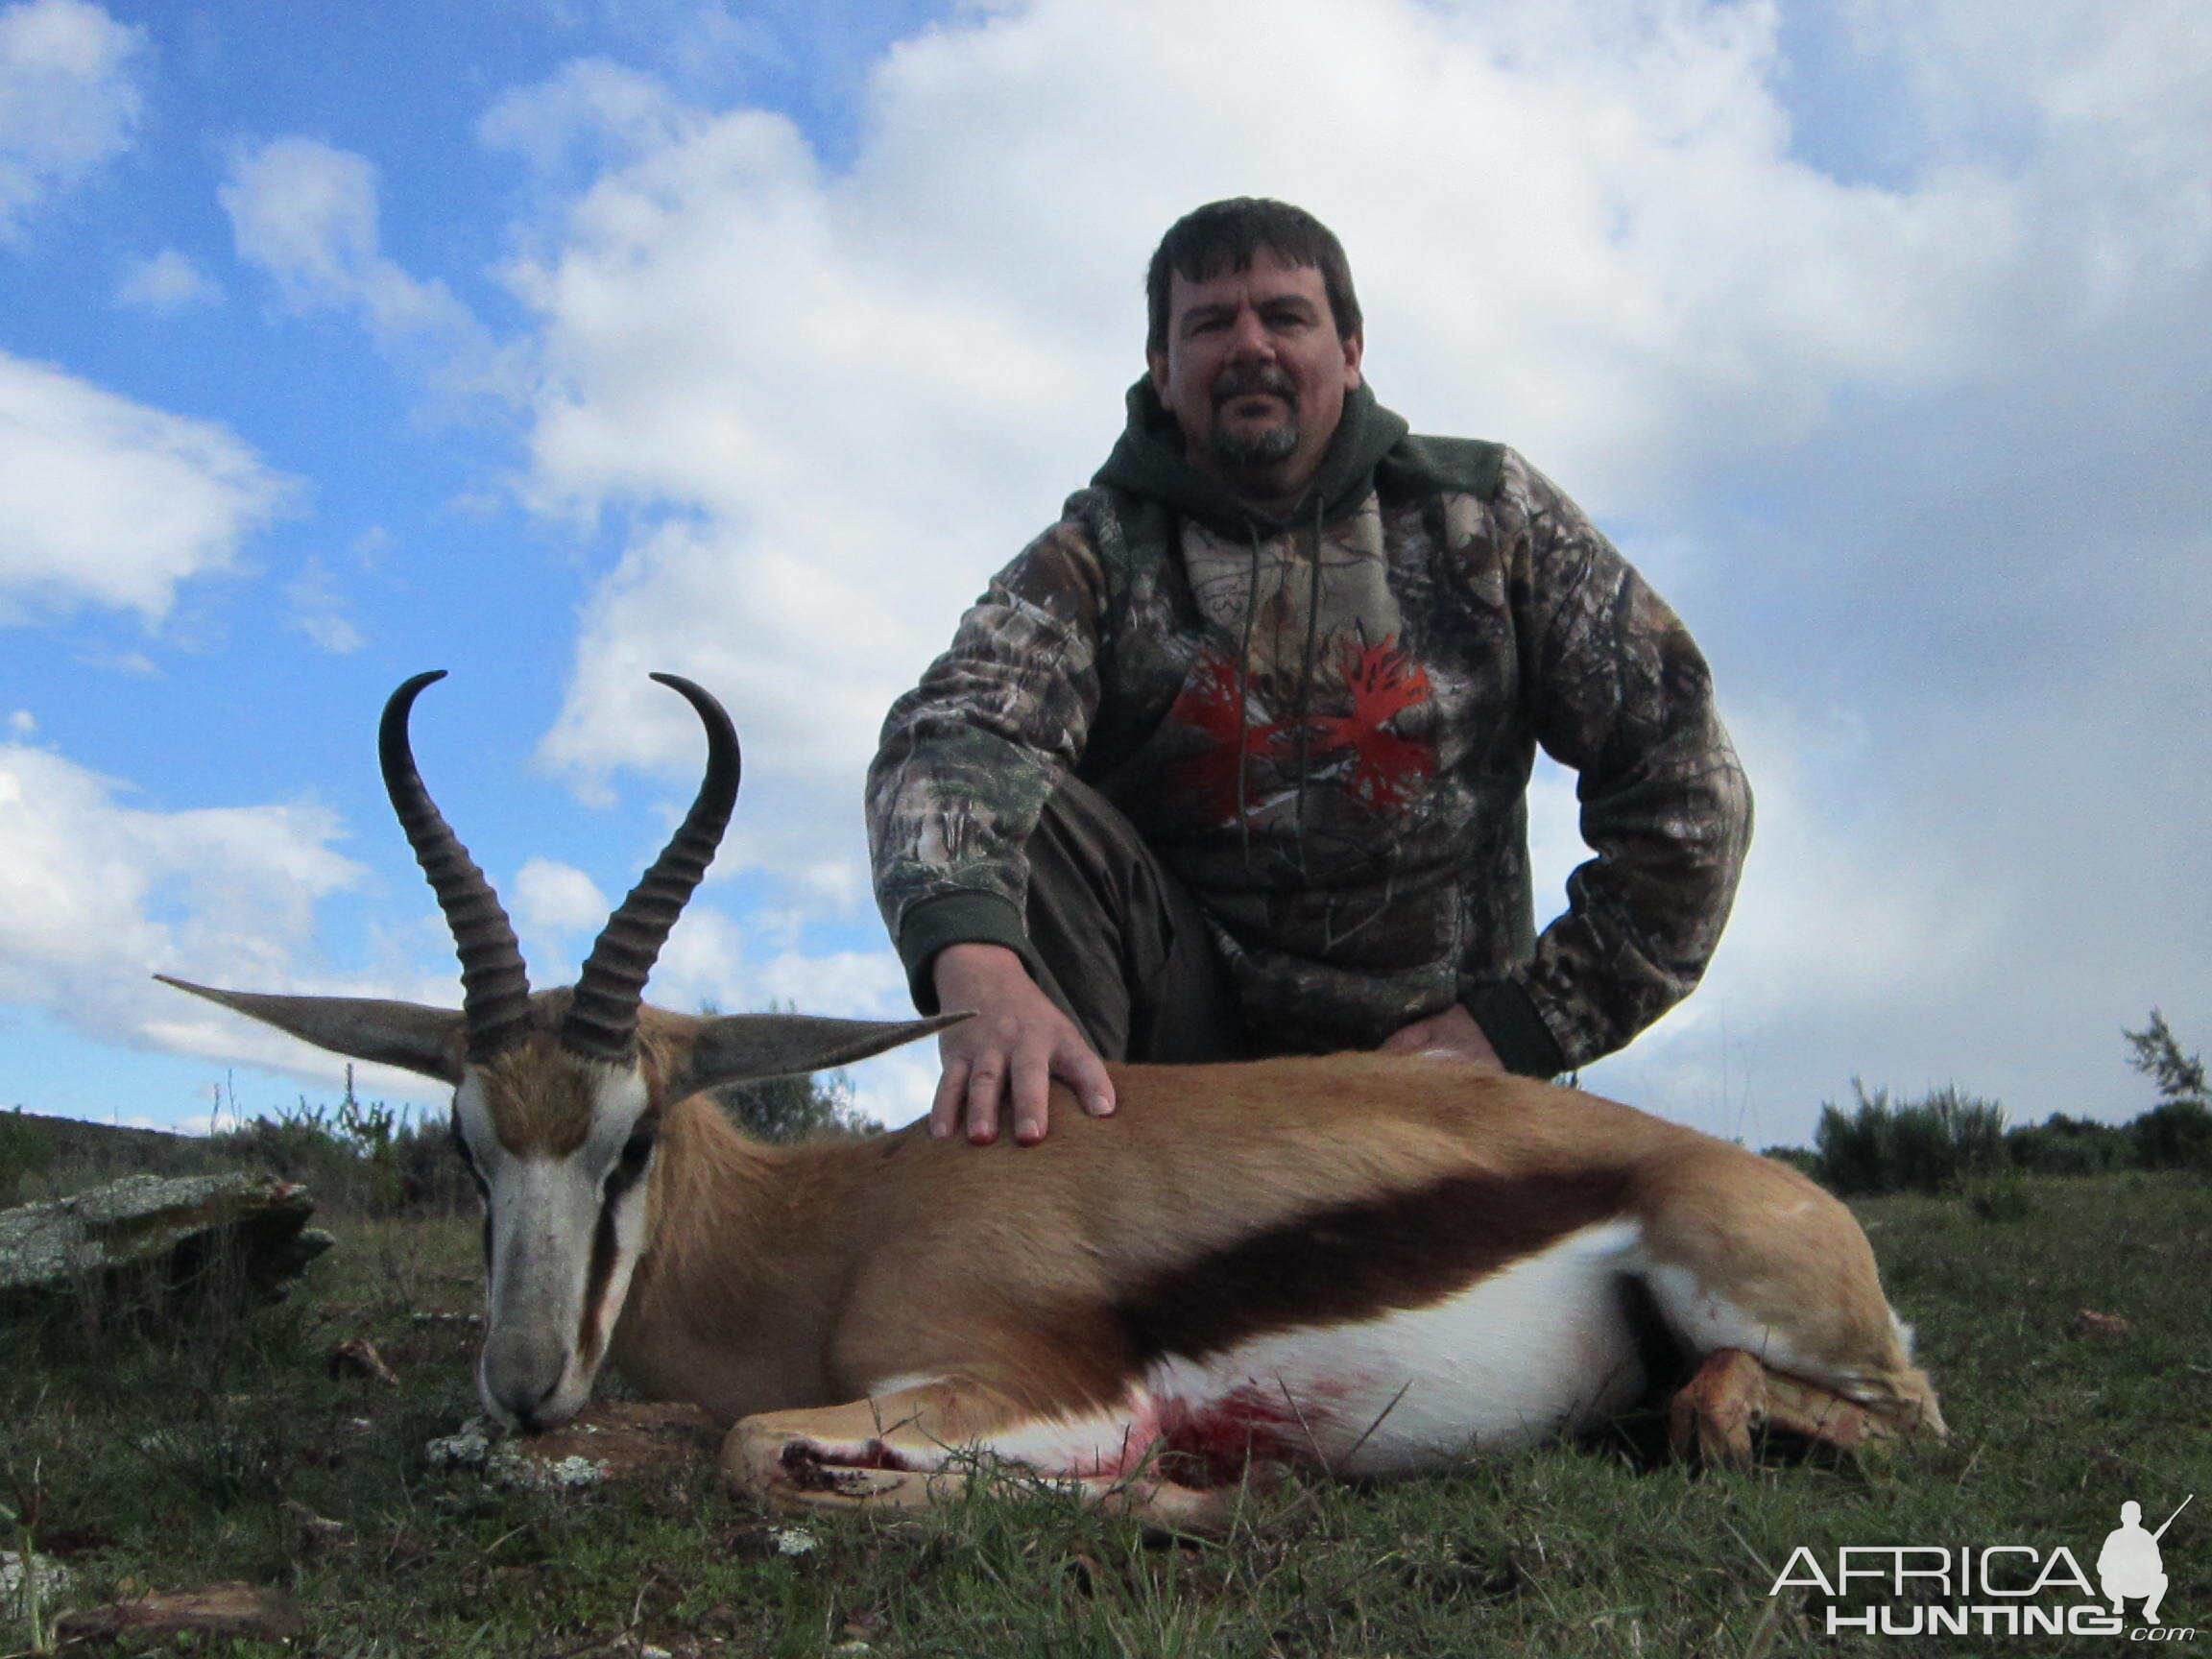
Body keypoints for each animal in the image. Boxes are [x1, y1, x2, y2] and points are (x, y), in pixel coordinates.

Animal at [168, 667, 1937, 1530]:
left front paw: (1188, 1490)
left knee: (1834, 1413)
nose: (524, 1386)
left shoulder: (1038, 1386)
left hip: (1779, 1318)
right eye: (469, 1148)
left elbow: (759, 1450)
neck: (838, 1230)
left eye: (631, 1139)